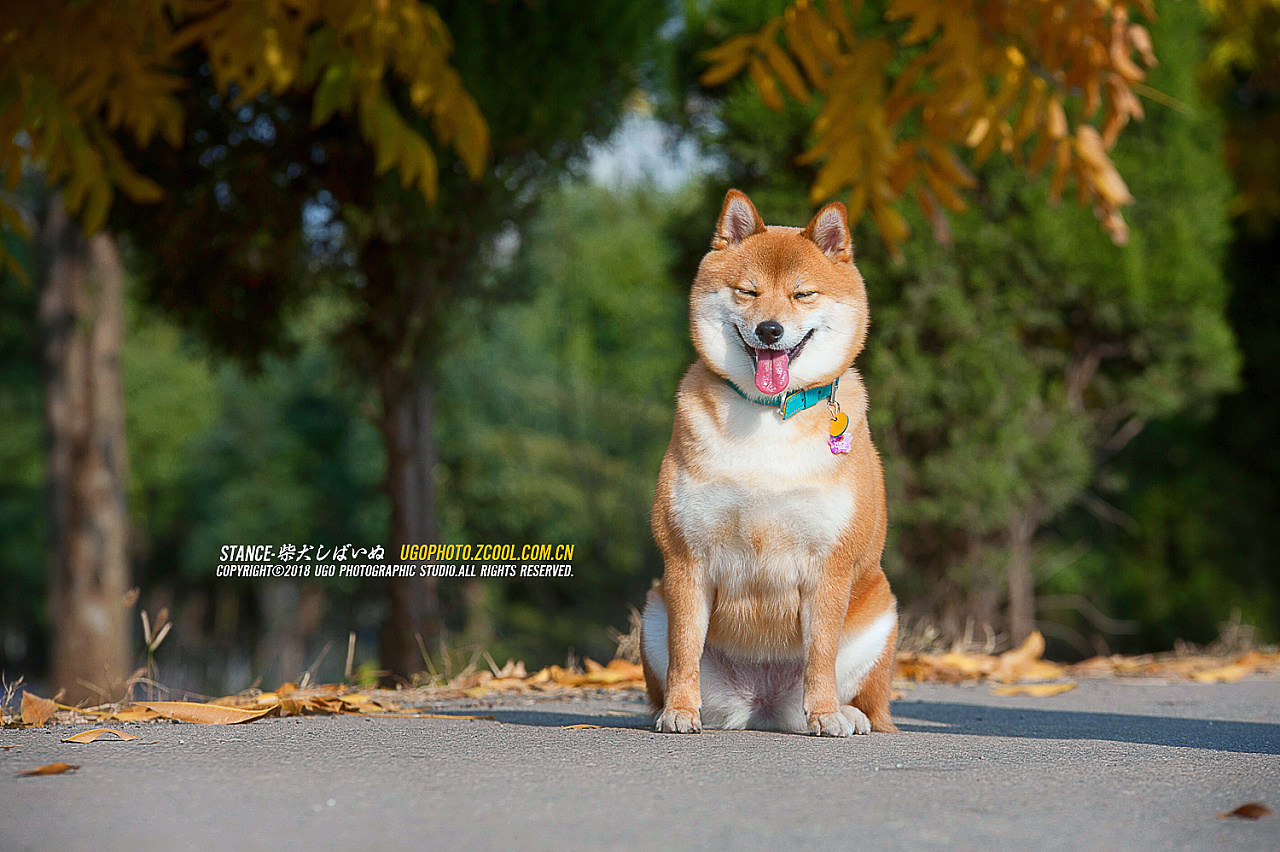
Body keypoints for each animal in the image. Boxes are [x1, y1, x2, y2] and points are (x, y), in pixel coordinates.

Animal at [640, 189, 901, 731]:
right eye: (748, 291)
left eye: (803, 295)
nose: (770, 329)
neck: (769, 414)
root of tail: (762, 705)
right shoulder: (685, 559)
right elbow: (683, 649)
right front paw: (679, 709)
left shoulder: (829, 565)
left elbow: (821, 655)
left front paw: (824, 714)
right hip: (653, 610)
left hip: (881, 615)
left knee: (867, 697)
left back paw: (846, 713)